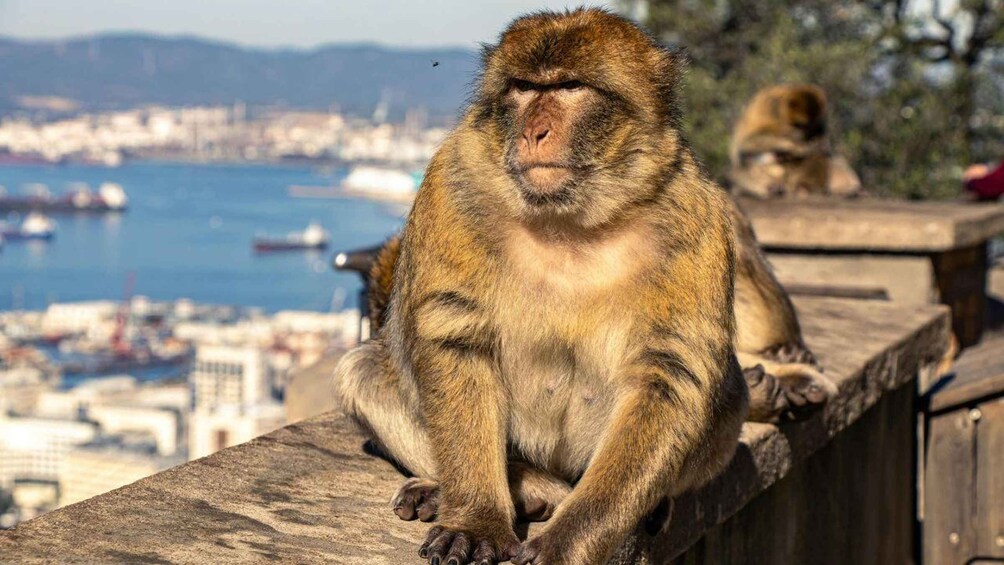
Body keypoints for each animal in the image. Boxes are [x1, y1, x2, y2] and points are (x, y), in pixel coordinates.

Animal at [334, 10, 834, 565]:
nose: (534, 131)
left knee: (724, 398)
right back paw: (518, 489)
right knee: (363, 370)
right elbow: (455, 337)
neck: (572, 216)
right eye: (524, 88)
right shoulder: (454, 179)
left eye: (570, 87)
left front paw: (568, 544)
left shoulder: (698, 212)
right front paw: (476, 519)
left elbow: (670, 376)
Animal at [728, 84, 862, 199]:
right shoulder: (769, 108)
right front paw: (797, 147)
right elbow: (747, 143)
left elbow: (823, 146)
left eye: (809, 126)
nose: (803, 135)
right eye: (800, 125)